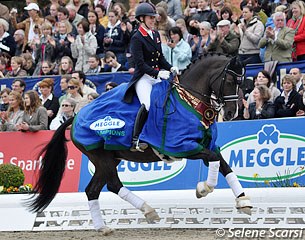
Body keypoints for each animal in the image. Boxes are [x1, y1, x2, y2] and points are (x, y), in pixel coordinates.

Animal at [27, 52, 252, 234]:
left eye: (242, 82)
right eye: (230, 79)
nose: (232, 114)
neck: (189, 100)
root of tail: (76, 117)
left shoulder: (206, 145)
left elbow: (224, 165)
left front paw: (243, 201)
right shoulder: (182, 146)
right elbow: (215, 161)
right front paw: (204, 188)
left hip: (108, 159)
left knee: (93, 190)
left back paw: (103, 228)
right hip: (101, 157)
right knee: (113, 185)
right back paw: (148, 211)